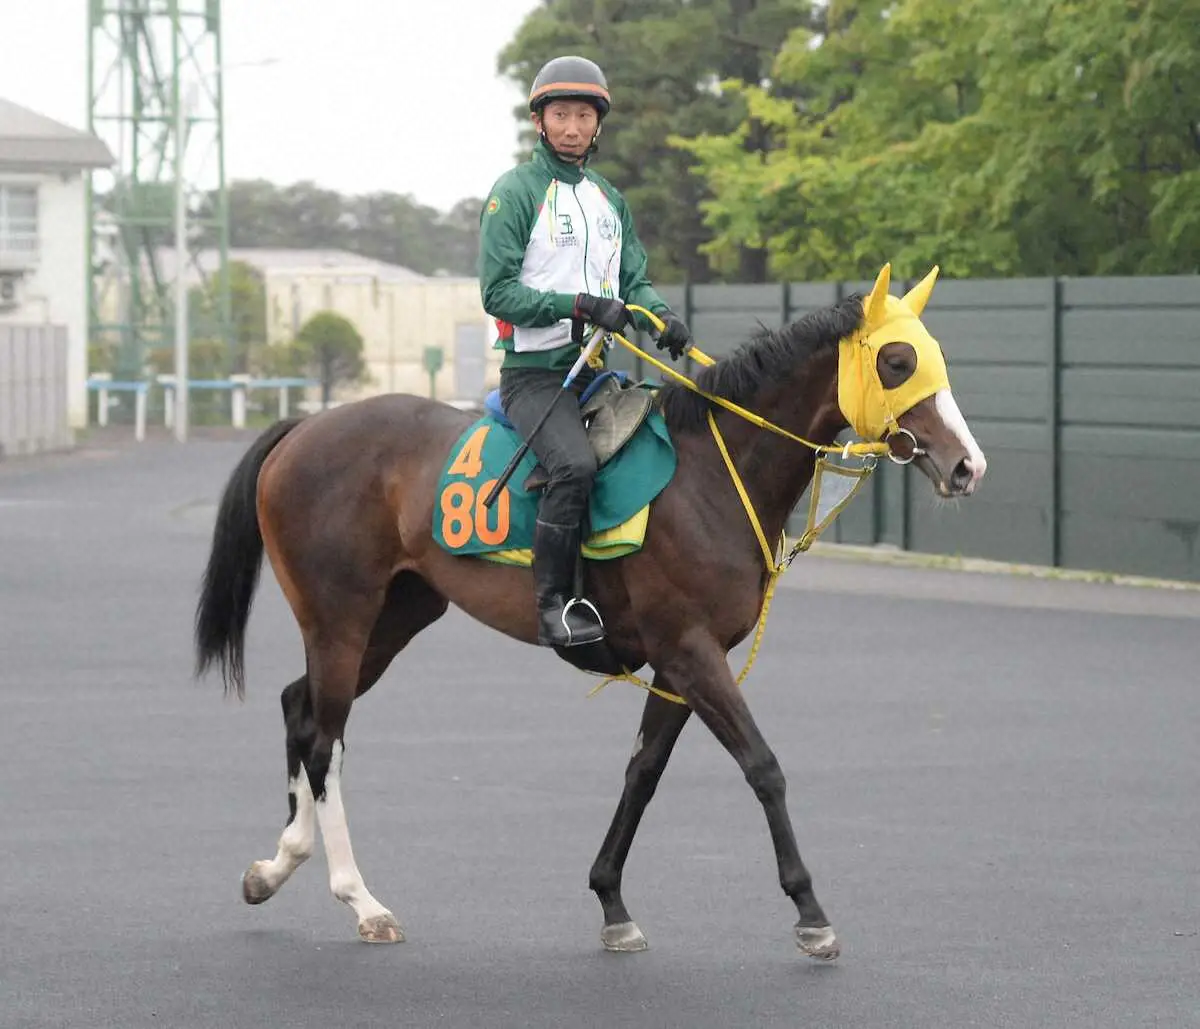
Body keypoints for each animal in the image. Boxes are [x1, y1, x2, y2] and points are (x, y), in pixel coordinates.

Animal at [194, 262, 984, 954]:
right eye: (897, 361)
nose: (967, 465)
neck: (711, 475)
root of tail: (303, 429)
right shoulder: (691, 650)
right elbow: (763, 765)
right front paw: (810, 912)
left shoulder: (679, 663)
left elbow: (643, 773)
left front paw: (612, 902)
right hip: (341, 618)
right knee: (324, 739)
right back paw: (360, 899)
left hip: (394, 618)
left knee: (300, 708)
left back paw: (277, 864)